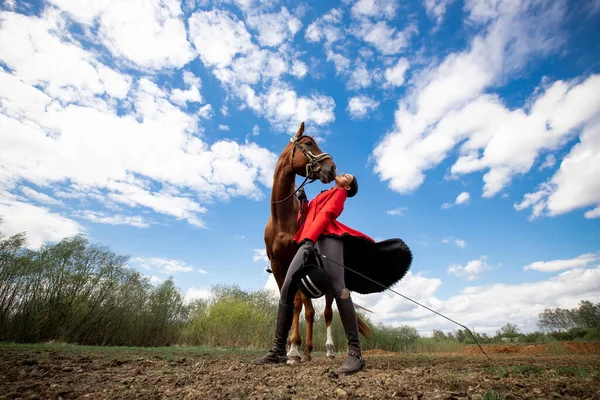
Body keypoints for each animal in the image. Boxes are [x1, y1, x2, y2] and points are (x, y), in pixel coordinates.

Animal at [264, 121, 370, 362]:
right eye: (308, 143)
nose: (332, 168)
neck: (282, 217)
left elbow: (299, 306)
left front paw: (294, 349)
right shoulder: (278, 266)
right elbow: (291, 302)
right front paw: (287, 348)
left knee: (327, 312)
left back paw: (326, 350)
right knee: (310, 310)